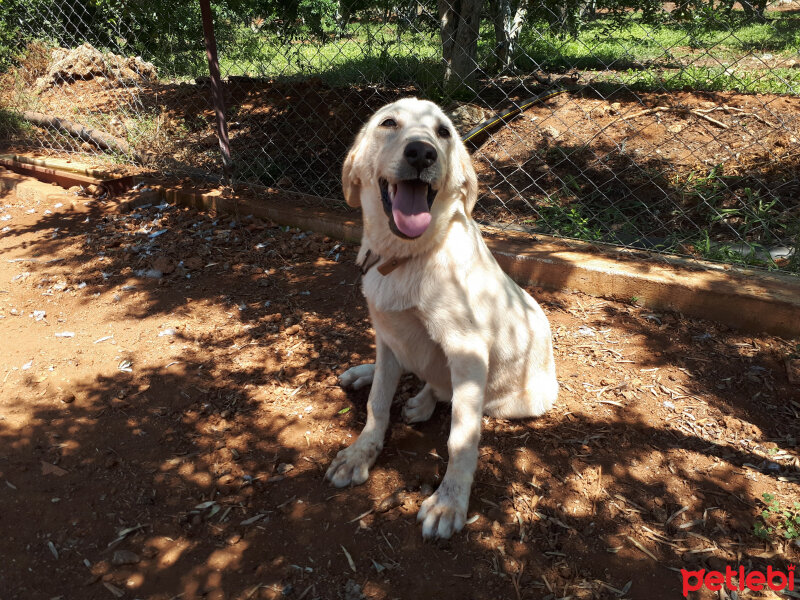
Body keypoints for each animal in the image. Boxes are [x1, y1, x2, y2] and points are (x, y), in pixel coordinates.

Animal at [324, 98, 556, 540]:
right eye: (388, 123)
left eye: (444, 132)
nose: (421, 153)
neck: (406, 257)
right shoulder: (386, 333)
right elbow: (378, 403)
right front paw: (361, 452)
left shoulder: (468, 352)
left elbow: (460, 440)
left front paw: (449, 502)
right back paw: (367, 375)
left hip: (520, 399)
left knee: (446, 390)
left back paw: (422, 401)